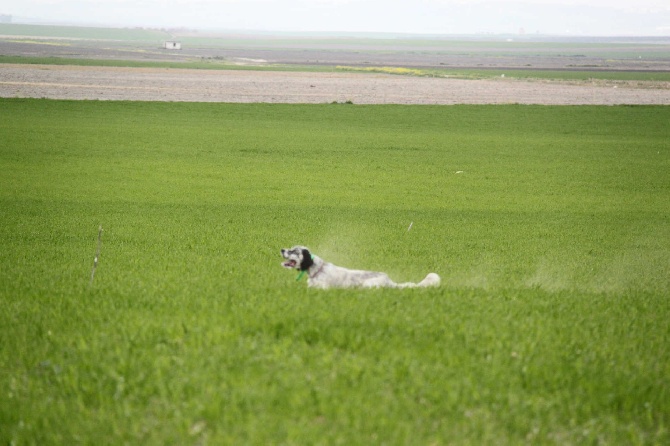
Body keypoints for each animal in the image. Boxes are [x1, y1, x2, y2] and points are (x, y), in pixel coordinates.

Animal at [282, 246, 444, 290]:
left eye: (294, 251)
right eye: (290, 248)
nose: (282, 250)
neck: (318, 270)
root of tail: (389, 280)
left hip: (368, 285)